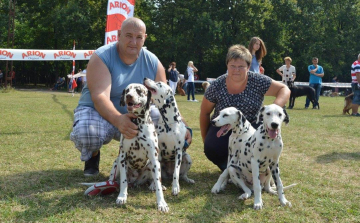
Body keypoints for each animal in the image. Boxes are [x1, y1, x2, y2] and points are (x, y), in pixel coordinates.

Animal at [115, 83, 169, 213]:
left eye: (139, 90)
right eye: (127, 91)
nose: (129, 96)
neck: (137, 124)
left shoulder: (154, 159)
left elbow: (158, 184)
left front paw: (161, 203)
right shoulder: (122, 158)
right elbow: (123, 181)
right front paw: (122, 196)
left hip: (154, 164)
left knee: (154, 180)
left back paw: (154, 185)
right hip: (118, 164)